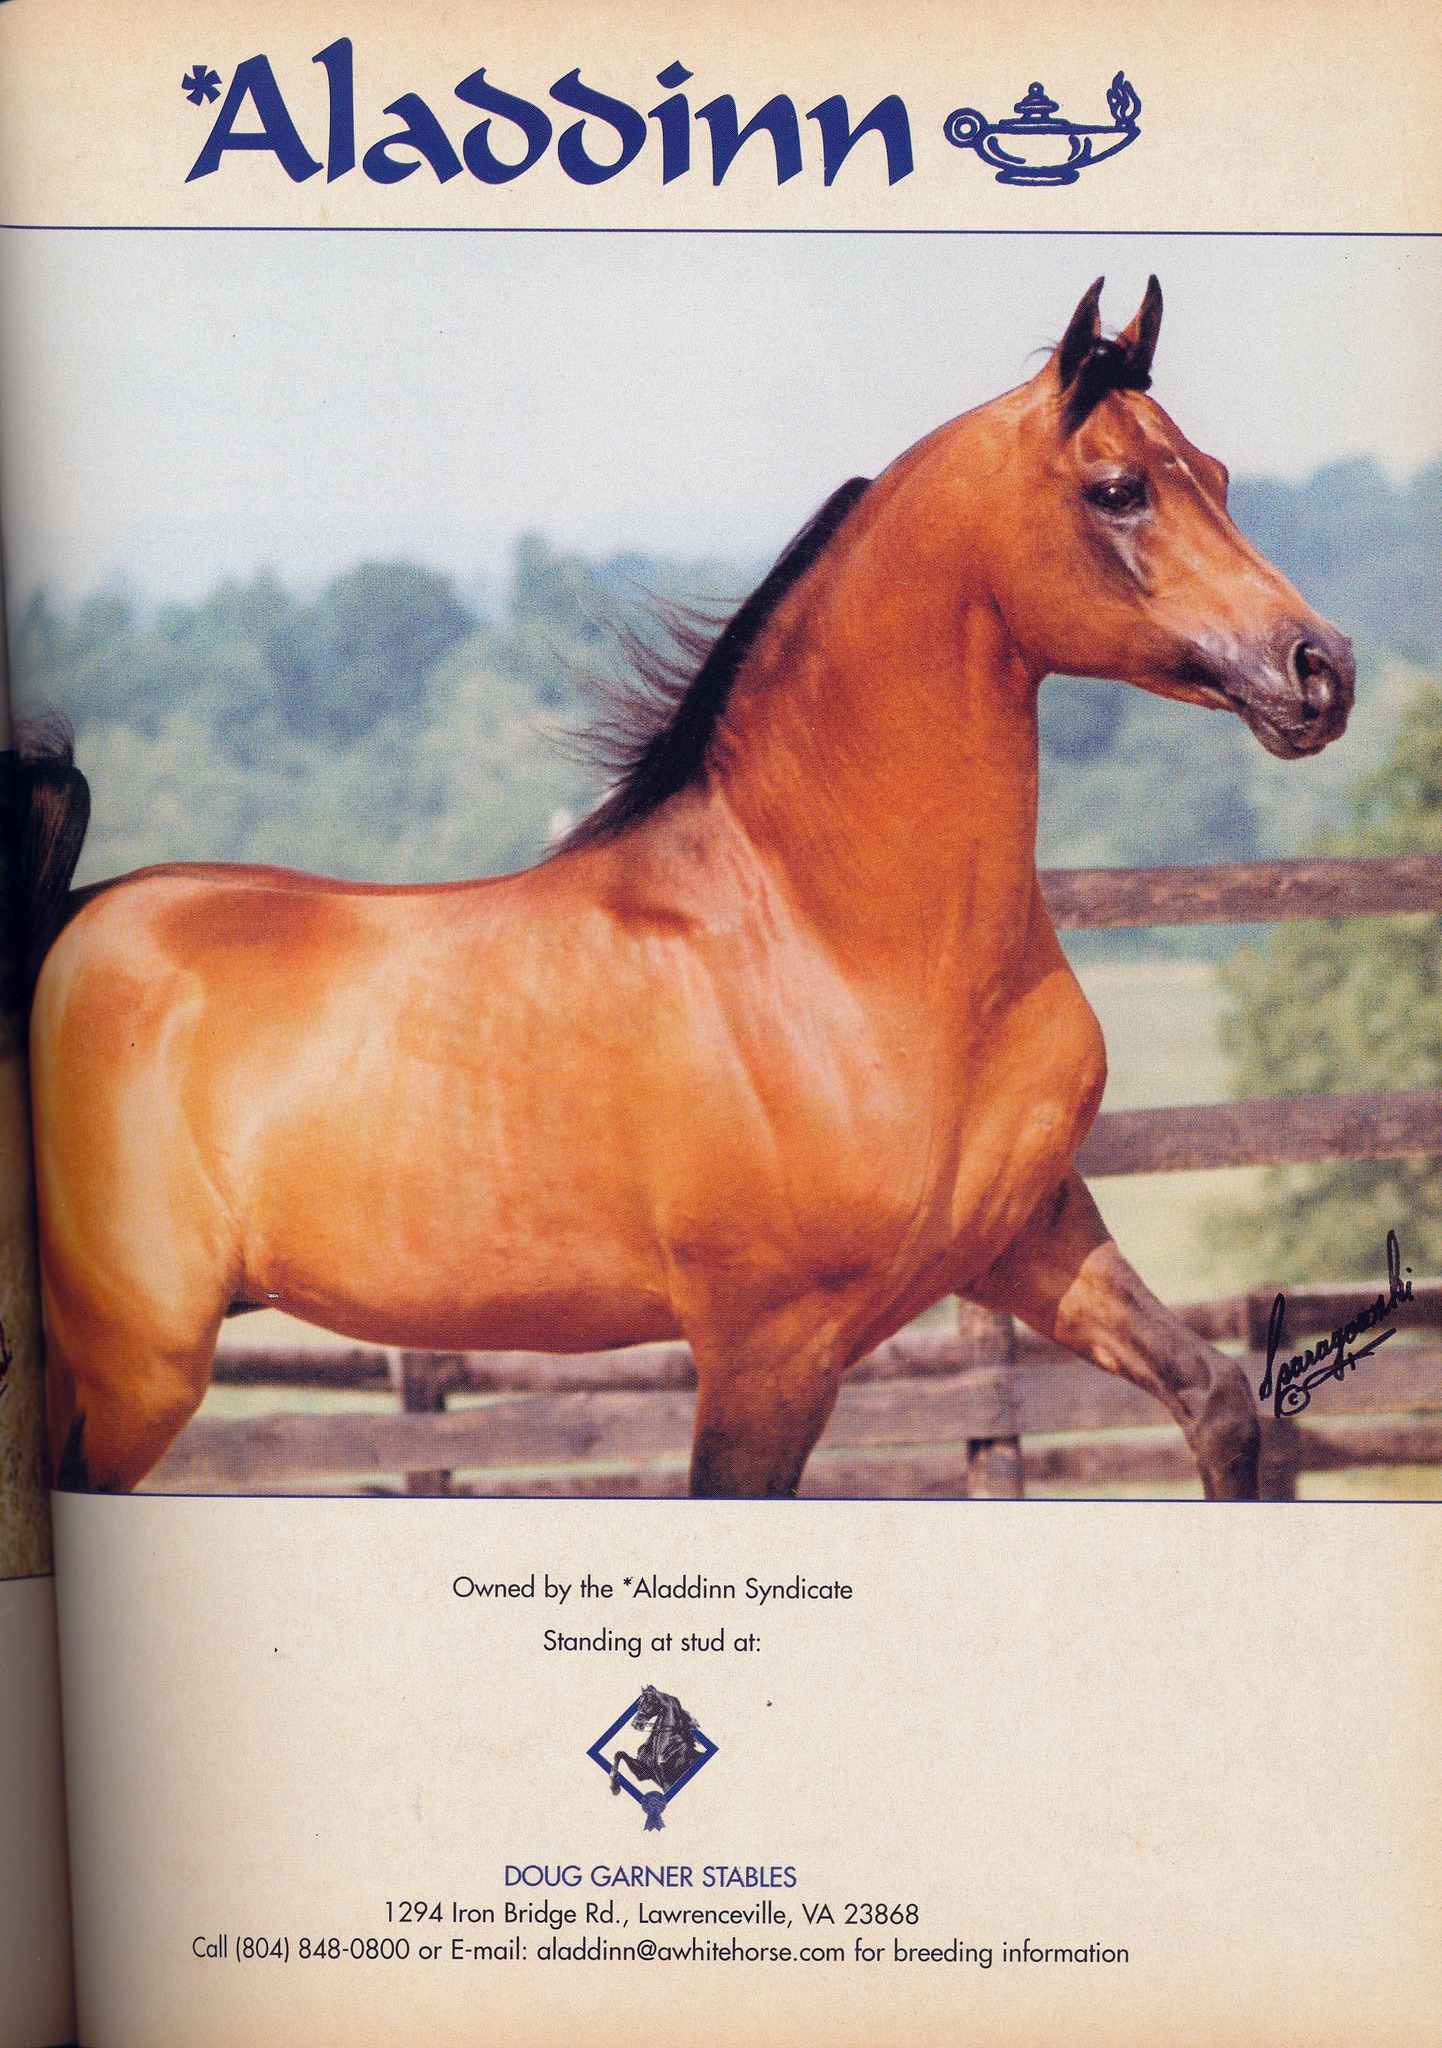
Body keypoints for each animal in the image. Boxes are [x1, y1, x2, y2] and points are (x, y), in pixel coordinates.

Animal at [19, 275, 1353, 1498]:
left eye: (1216, 473)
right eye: (1117, 488)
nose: (1318, 668)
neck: (838, 942)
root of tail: (68, 928)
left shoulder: (1030, 1237)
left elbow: (1218, 1401)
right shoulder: (767, 1347)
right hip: (139, 1364)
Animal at [610, 1686, 702, 1829]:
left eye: (649, 1703)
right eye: (639, 1703)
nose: (635, 1724)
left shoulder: (668, 1782)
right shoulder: (643, 1773)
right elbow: (619, 1754)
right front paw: (615, 1787)